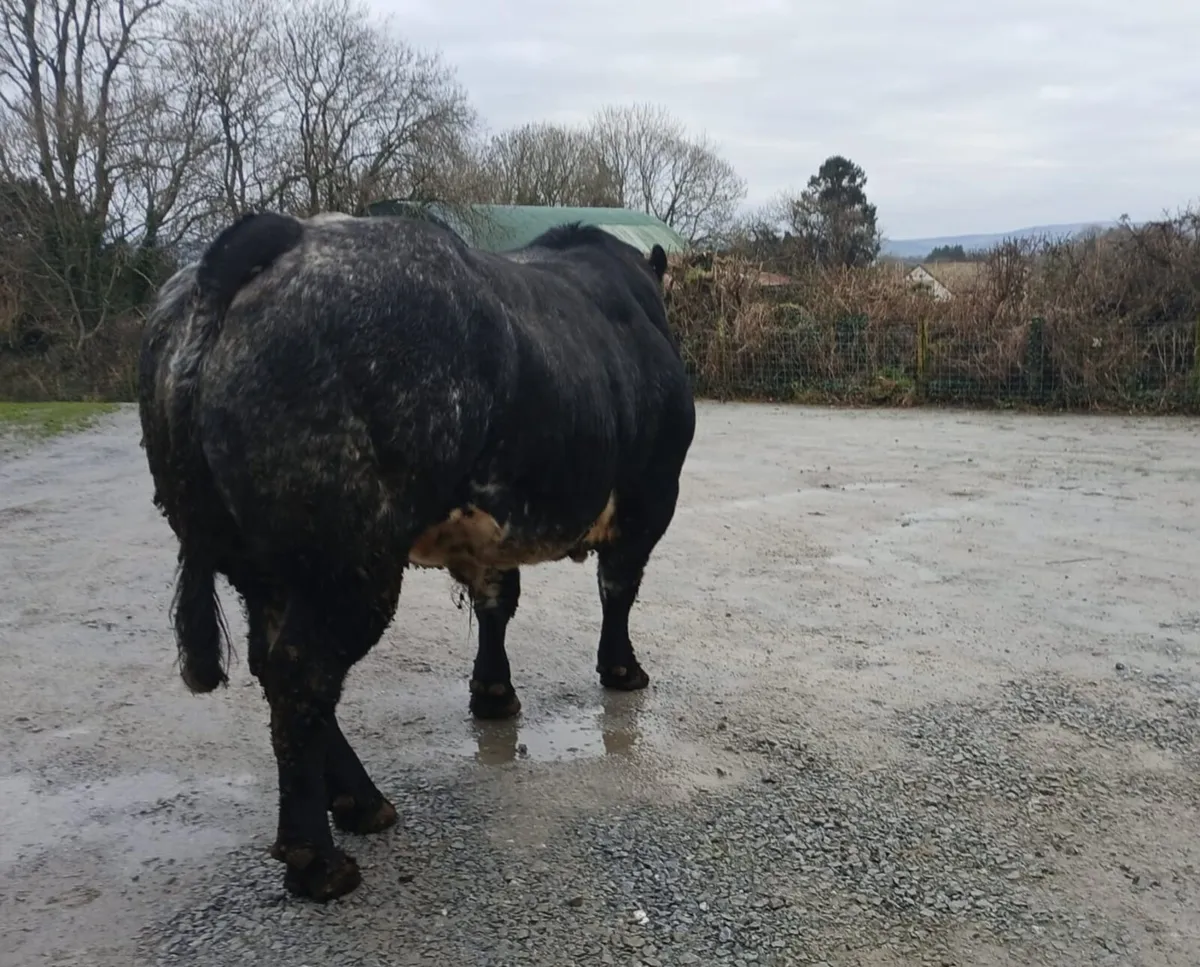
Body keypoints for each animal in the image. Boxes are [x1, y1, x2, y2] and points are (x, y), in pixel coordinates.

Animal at [136, 209, 696, 902]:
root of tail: (286, 234)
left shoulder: (496, 525)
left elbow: (496, 604)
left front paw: (493, 693)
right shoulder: (652, 494)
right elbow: (618, 588)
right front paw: (621, 670)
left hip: (266, 568)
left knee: (277, 667)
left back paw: (359, 802)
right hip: (352, 566)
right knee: (302, 674)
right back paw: (318, 856)